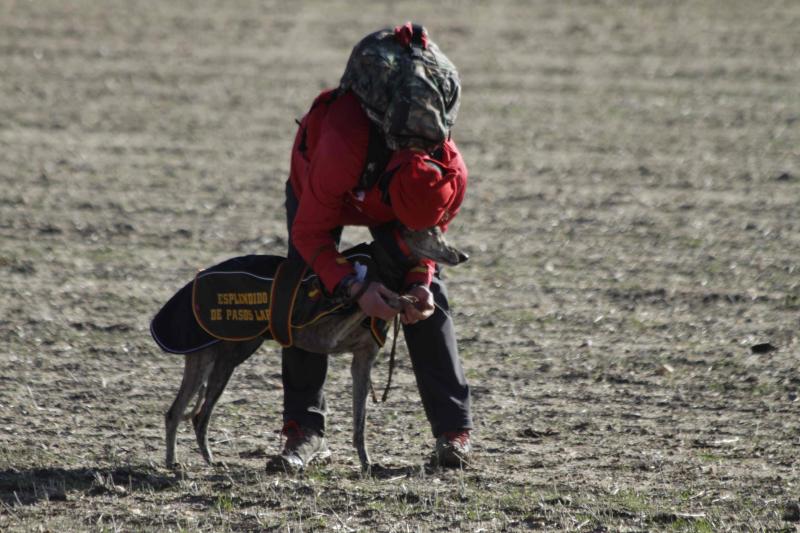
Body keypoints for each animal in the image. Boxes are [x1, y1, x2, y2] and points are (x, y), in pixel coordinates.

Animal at [165, 224, 466, 470]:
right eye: (433, 232)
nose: (462, 256)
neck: (383, 264)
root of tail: (193, 281)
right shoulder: (330, 332)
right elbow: (377, 296)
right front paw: (400, 298)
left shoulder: (363, 360)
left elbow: (360, 423)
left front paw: (367, 463)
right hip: (209, 358)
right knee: (176, 412)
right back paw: (173, 462)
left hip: (225, 360)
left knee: (198, 416)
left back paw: (210, 461)